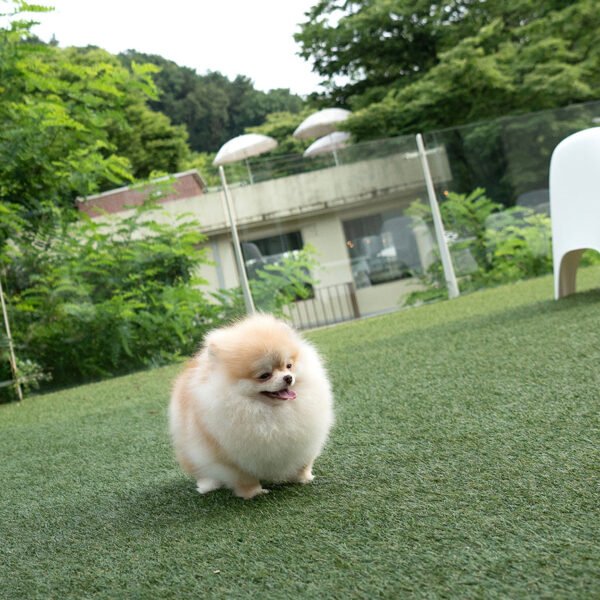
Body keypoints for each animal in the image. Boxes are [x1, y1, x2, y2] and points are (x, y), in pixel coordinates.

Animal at [169, 314, 334, 499]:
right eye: (264, 375)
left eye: (288, 366)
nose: (288, 377)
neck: (270, 412)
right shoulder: (231, 459)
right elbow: (245, 478)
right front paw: (254, 493)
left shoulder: (305, 443)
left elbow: (303, 463)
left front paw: (304, 478)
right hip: (191, 450)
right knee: (202, 472)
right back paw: (208, 486)